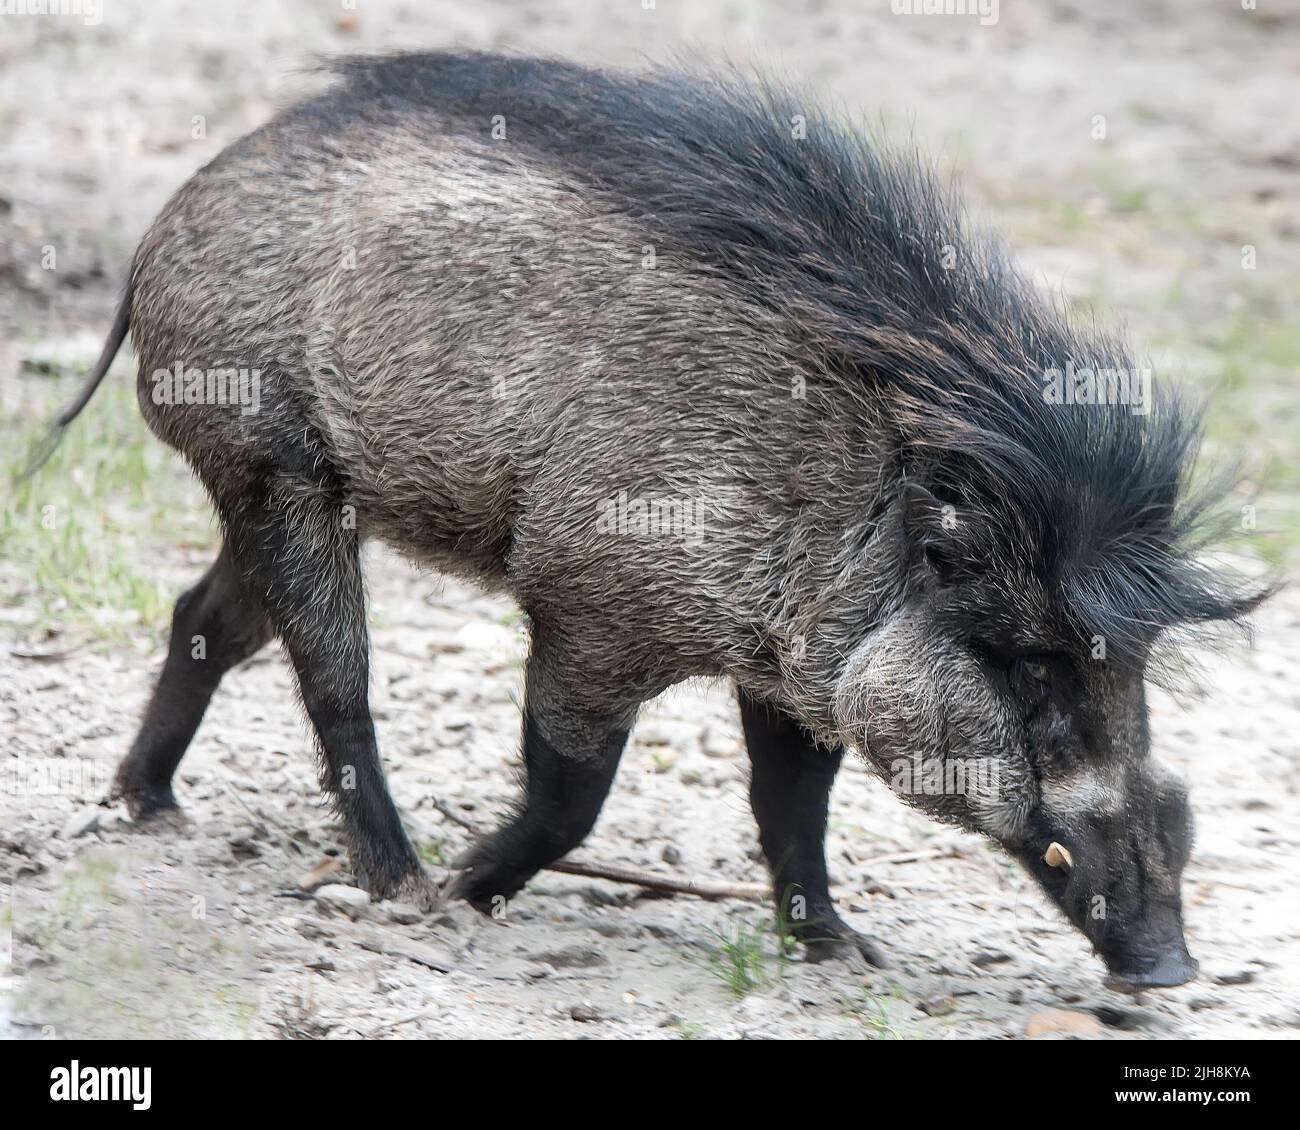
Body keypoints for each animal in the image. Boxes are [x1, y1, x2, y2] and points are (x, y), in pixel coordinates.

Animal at [44, 51, 1267, 990]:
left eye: (1125, 664)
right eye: (1032, 664)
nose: (1171, 970)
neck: (864, 499)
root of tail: (175, 216)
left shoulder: (793, 665)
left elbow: (793, 807)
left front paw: (842, 950)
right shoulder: (589, 607)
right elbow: (573, 795)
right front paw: (466, 889)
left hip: (285, 489)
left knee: (202, 619)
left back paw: (151, 806)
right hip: (274, 465)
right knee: (332, 679)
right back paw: (396, 879)